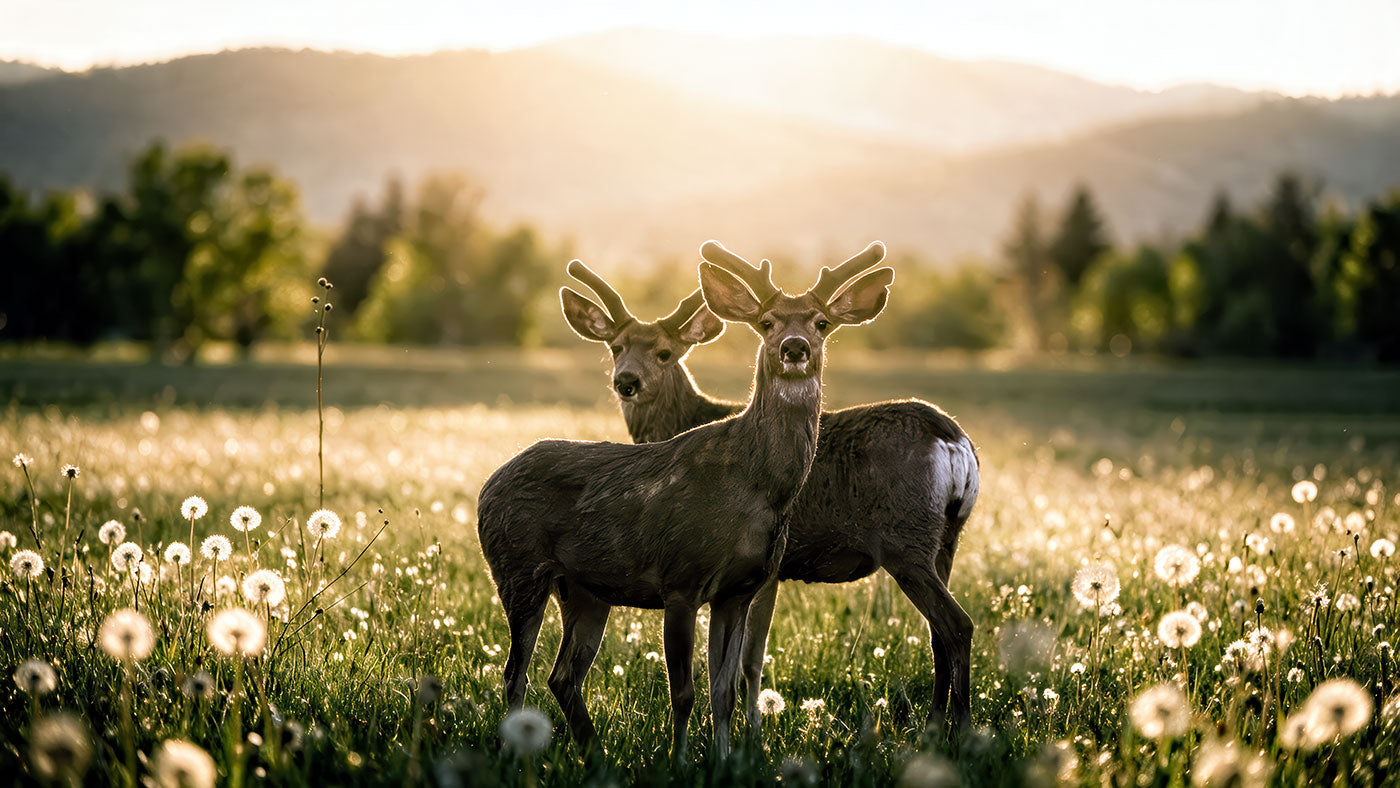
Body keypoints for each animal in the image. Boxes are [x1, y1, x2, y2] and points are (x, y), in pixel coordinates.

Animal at [477, 241, 895, 761]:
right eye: (766, 322)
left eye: (821, 323)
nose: (794, 348)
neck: (758, 487)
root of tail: (487, 486)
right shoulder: (679, 579)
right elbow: (684, 692)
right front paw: (679, 762)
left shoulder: (739, 590)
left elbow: (724, 690)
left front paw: (725, 759)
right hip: (517, 569)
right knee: (515, 675)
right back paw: (517, 755)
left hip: (585, 590)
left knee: (562, 676)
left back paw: (596, 753)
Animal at [560, 246, 979, 736]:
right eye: (615, 347)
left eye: (665, 353)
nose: (627, 381)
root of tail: (953, 440)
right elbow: (749, 656)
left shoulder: (767, 565)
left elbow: (748, 659)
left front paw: (749, 732)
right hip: (945, 540)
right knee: (937, 633)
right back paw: (934, 724)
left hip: (904, 539)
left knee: (956, 625)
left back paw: (958, 729)